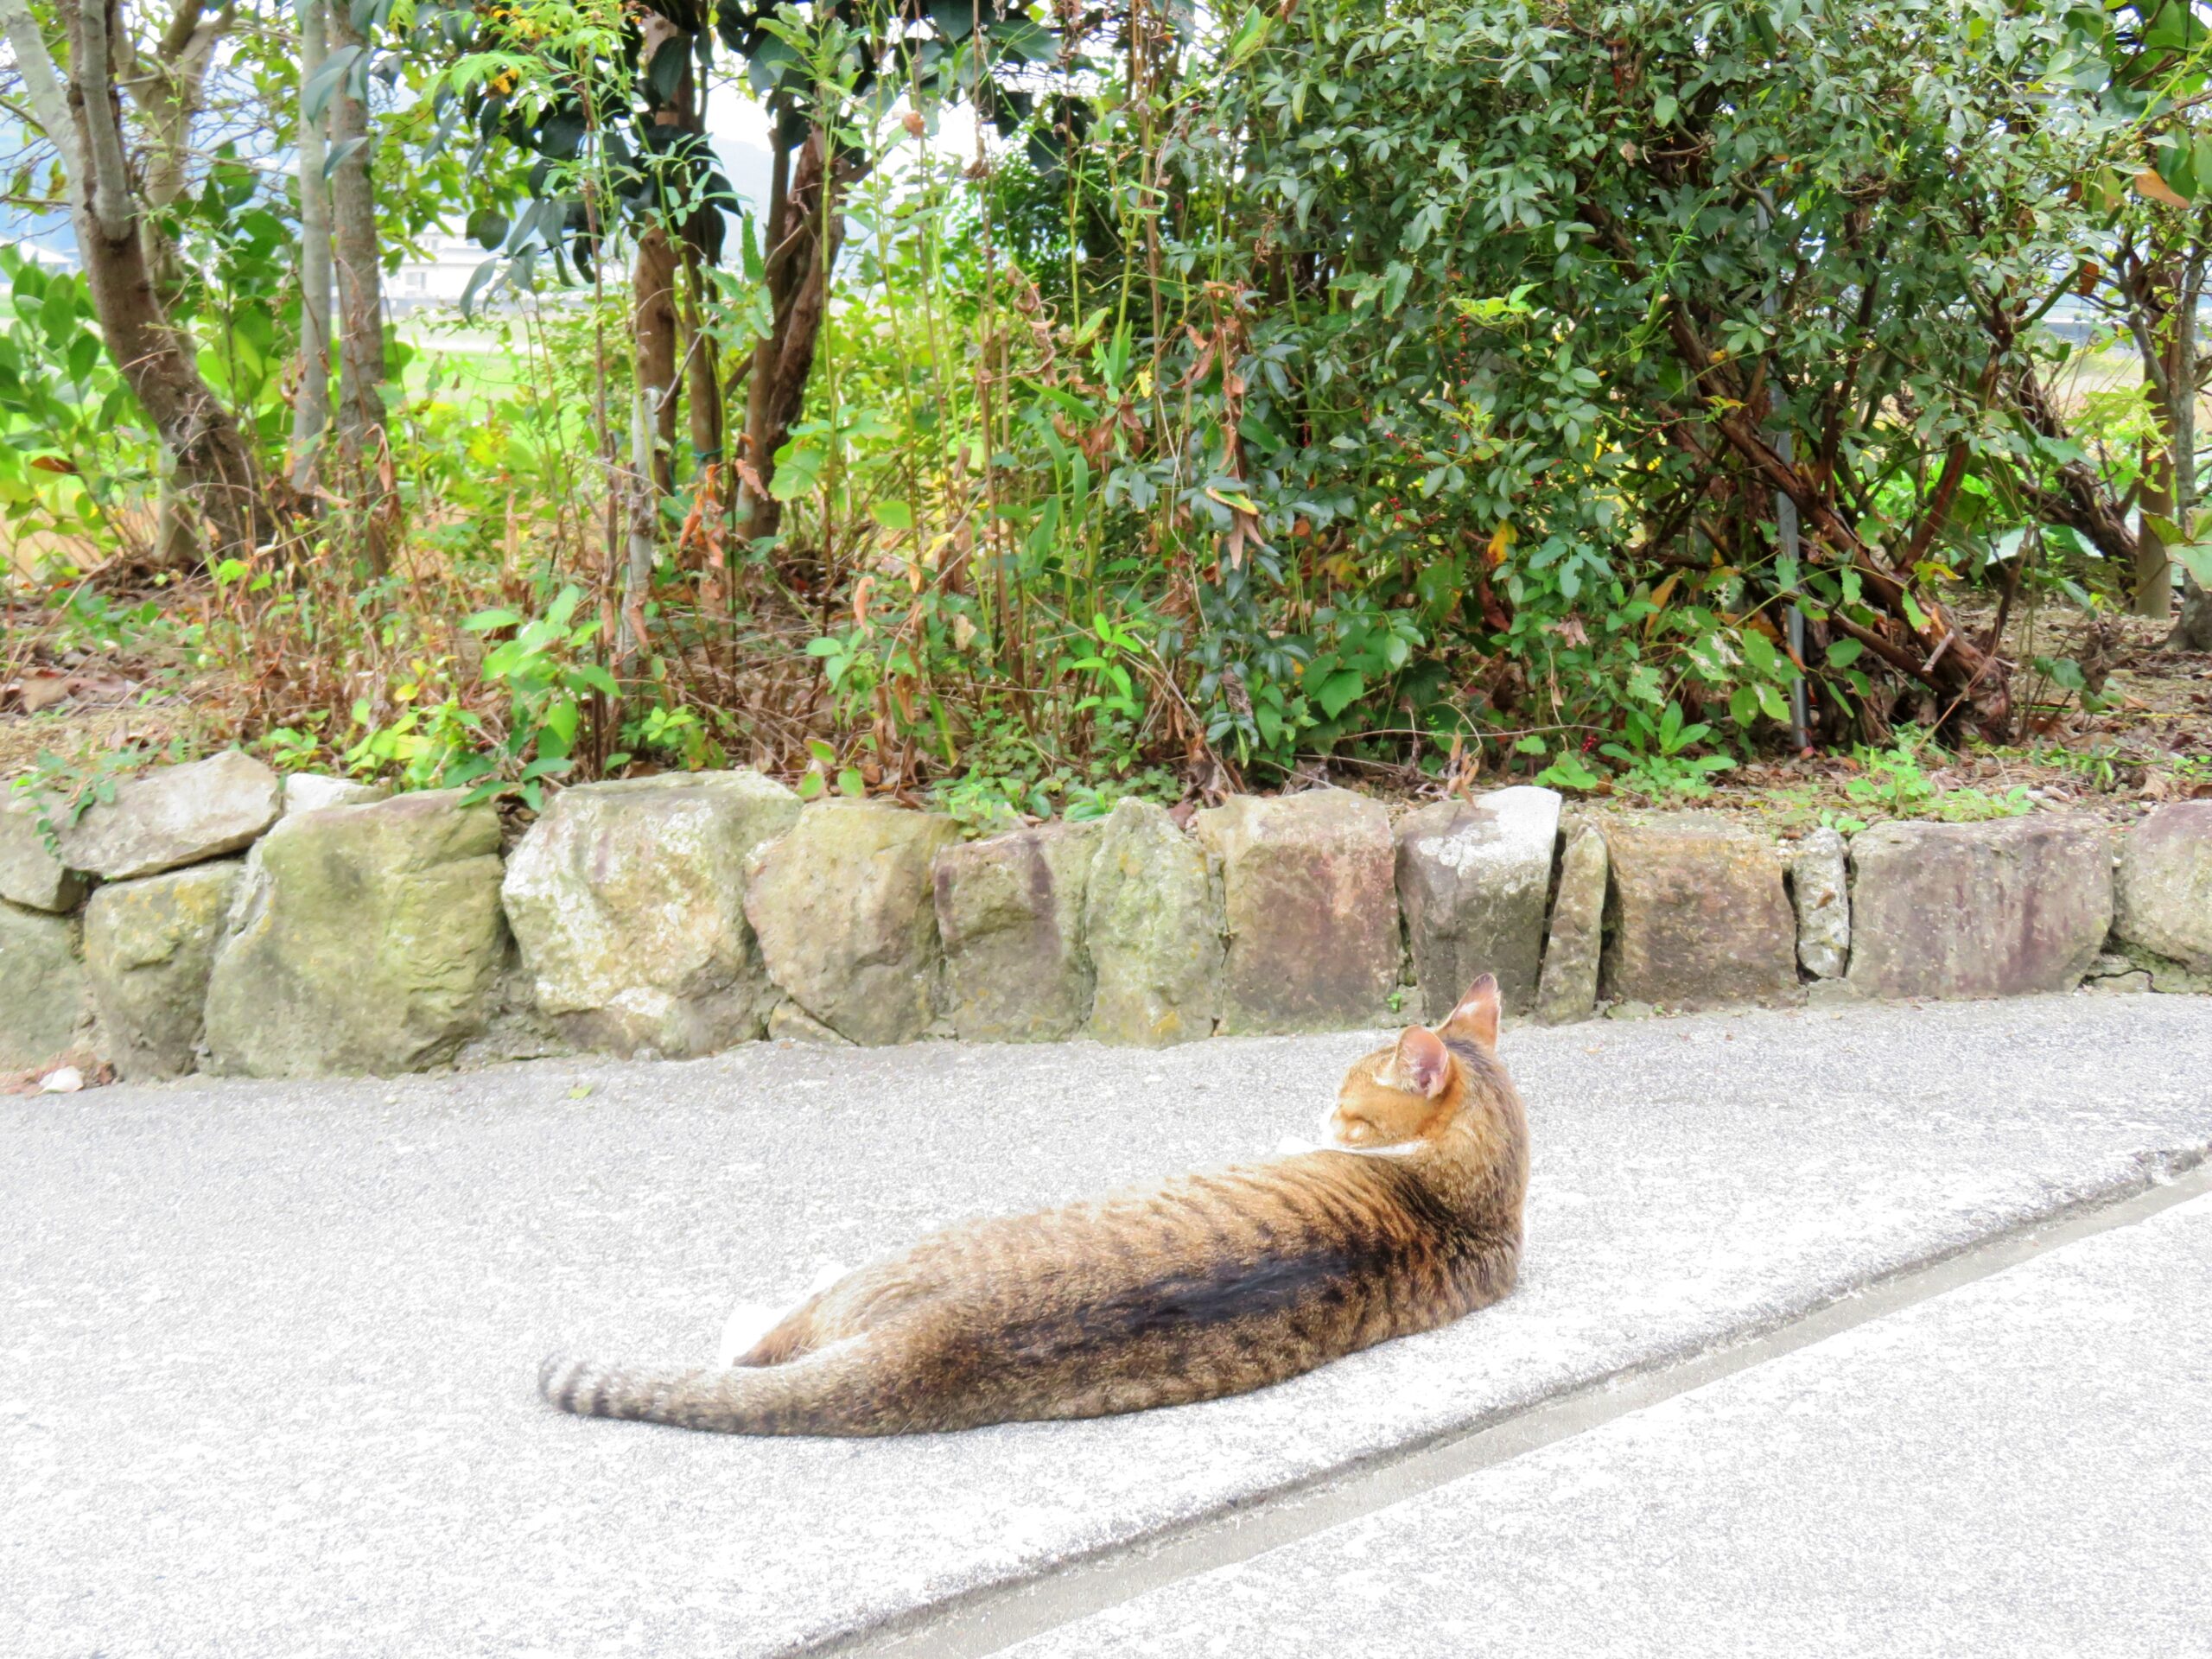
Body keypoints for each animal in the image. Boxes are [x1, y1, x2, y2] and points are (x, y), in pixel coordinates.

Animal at [543, 973, 1530, 1442]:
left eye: (1348, 1103)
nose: (1321, 1114)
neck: (1469, 1198)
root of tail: (933, 1341)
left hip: (887, 1267)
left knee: (758, 1346)